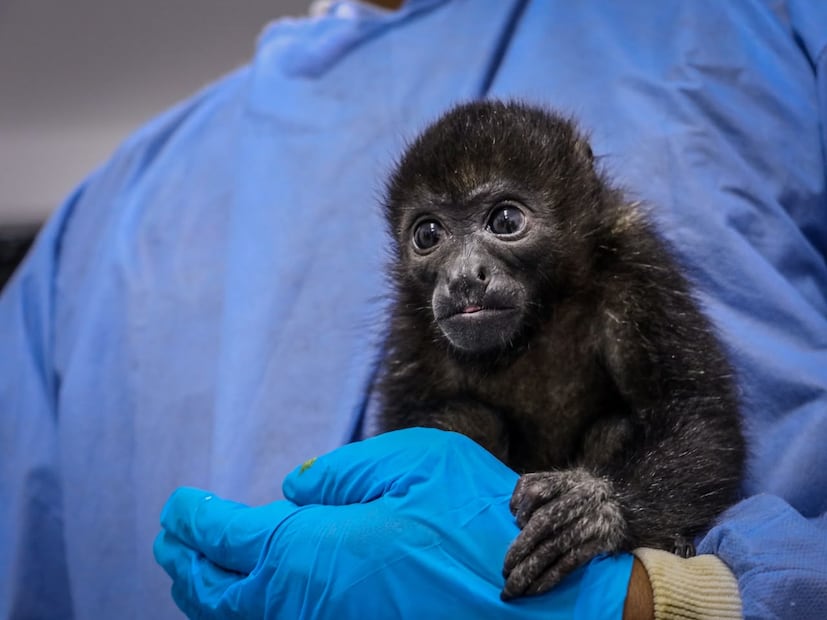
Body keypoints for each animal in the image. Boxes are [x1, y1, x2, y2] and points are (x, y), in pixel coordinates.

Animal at [375, 100, 745, 601]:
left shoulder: (638, 267)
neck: (539, 317)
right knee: (467, 419)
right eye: (428, 234)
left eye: (506, 221)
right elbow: (397, 435)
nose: (464, 277)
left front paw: (595, 509)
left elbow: (698, 411)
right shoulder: (411, 324)